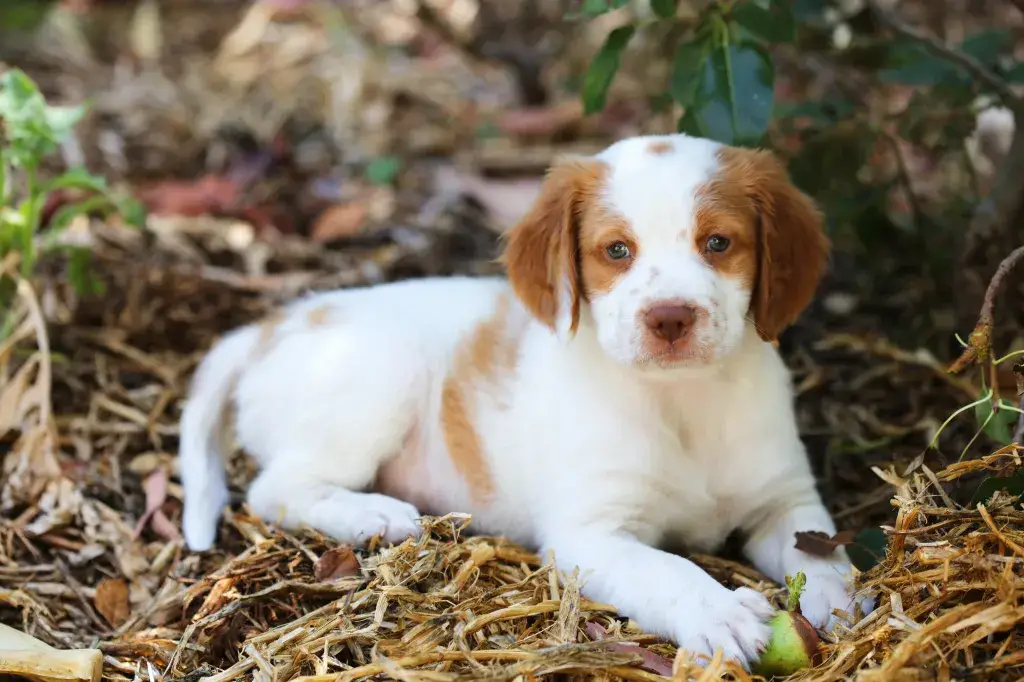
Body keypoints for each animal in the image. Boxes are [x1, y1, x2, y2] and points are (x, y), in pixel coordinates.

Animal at [180, 131, 868, 663]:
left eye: (718, 243)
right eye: (617, 250)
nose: (669, 318)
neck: (682, 402)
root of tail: (270, 325)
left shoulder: (785, 500)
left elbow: (821, 550)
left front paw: (845, 597)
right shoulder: (589, 534)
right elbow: (667, 569)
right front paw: (720, 613)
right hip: (380, 372)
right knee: (276, 487)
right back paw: (375, 514)